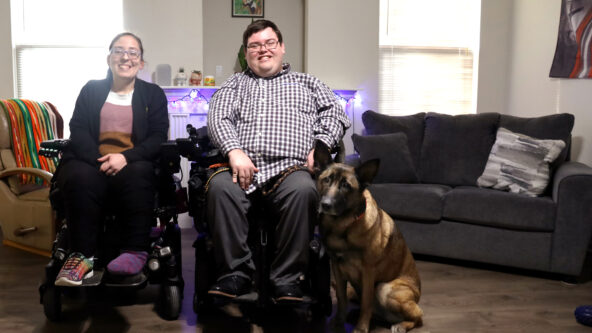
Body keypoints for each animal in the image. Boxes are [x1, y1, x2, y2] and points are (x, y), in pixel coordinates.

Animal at [314, 142, 420, 332]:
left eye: (346, 185)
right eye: (326, 180)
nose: (325, 205)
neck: (342, 227)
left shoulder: (368, 271)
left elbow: (366, 303)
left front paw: (361, 327)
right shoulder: (337, 268)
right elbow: (341, 297)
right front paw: (338, 323)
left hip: (385, 289)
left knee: (418, 316)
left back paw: (401, 325)